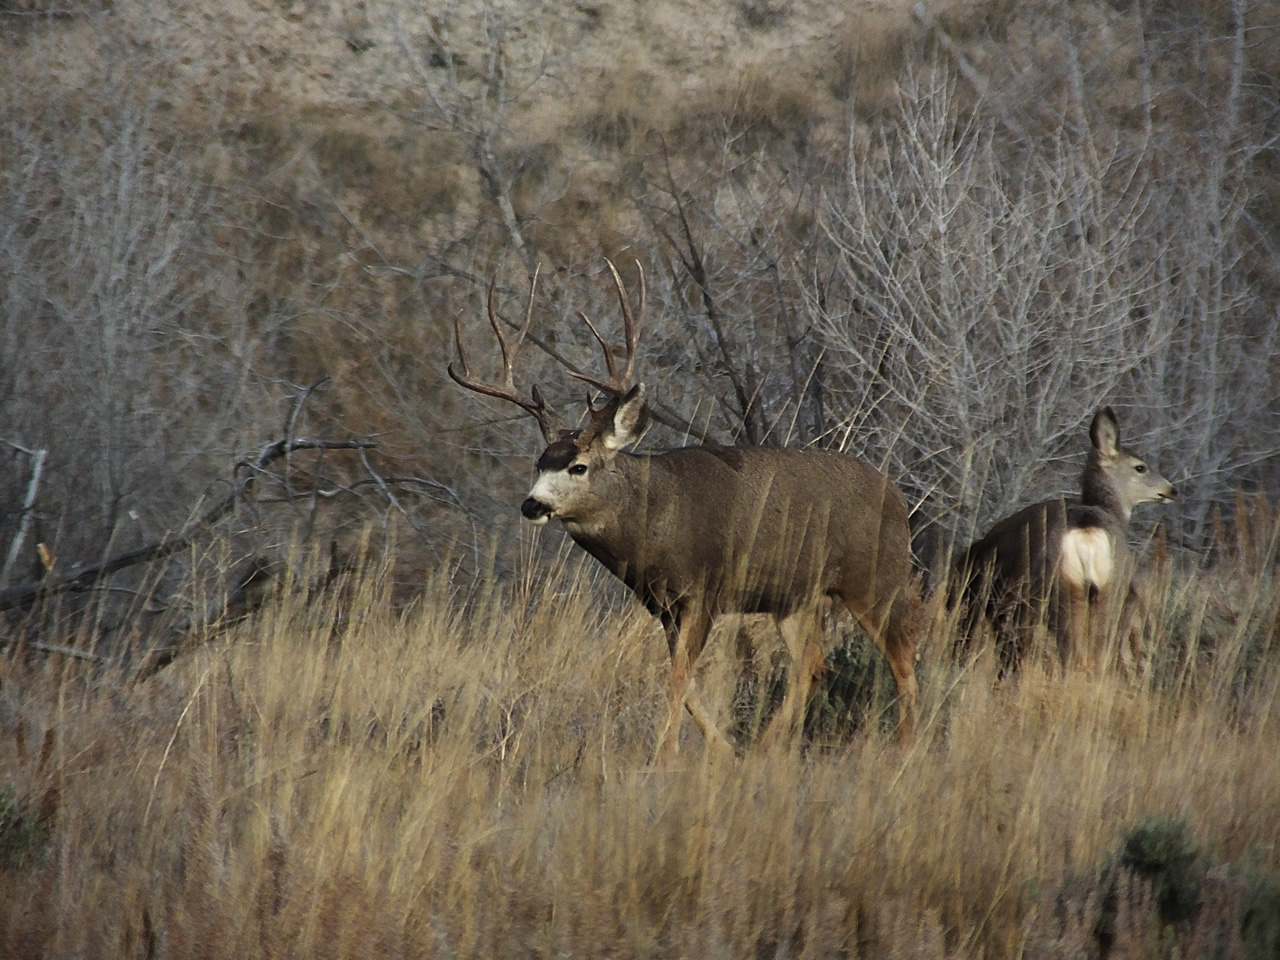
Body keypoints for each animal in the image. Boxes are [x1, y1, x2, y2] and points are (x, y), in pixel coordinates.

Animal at [448, 260, 920, 758]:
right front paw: (724, 750)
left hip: (875, 577)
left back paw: (905, 749)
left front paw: (666, 753)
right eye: (540, 463)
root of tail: (897, 495)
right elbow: (687, 683)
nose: (532, 504)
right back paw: (761, 750)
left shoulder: (703, 591)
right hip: (794, 598)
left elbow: (677, 678)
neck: (655, 520)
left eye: (578, 466)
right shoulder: (662, 604)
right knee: (813, 667)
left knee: (903, 661)